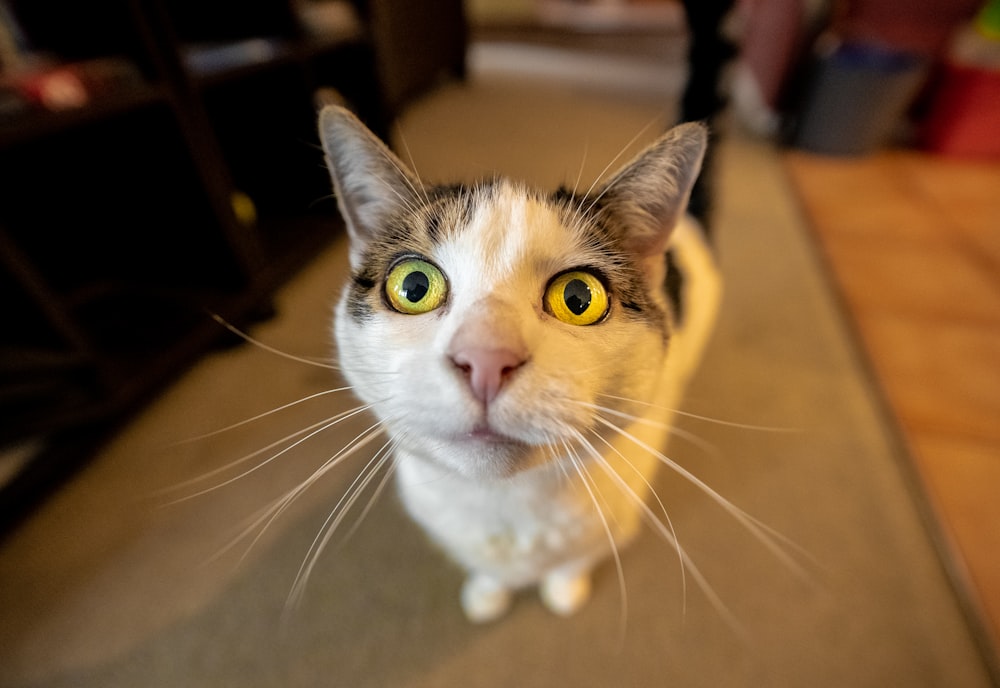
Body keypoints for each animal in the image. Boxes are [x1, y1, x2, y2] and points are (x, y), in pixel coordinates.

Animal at [318, 106, 720, 624]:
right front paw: (488, 592)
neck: (505, 504)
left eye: (578, 298)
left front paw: (564, 589)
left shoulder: (615, 515)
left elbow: (575, 558)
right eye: (413, 286)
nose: (486, 358)